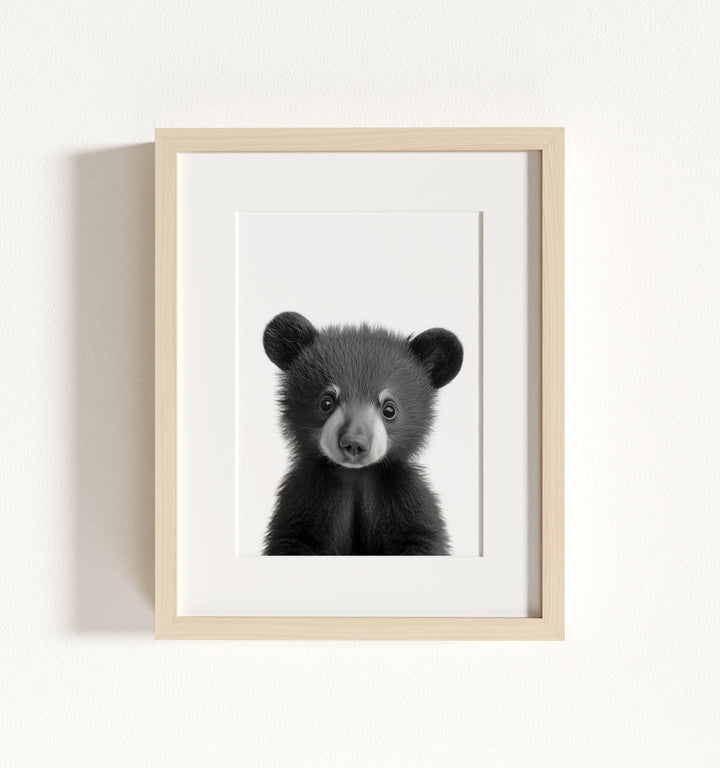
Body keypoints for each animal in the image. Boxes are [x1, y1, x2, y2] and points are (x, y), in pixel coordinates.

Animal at [262, 311, 463, 555]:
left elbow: (421, 536)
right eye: (326, 402)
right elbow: (294, 537)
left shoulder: (402, 496)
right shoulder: (305, 498)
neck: (356, 476)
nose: (354, 444)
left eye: (389, 409)